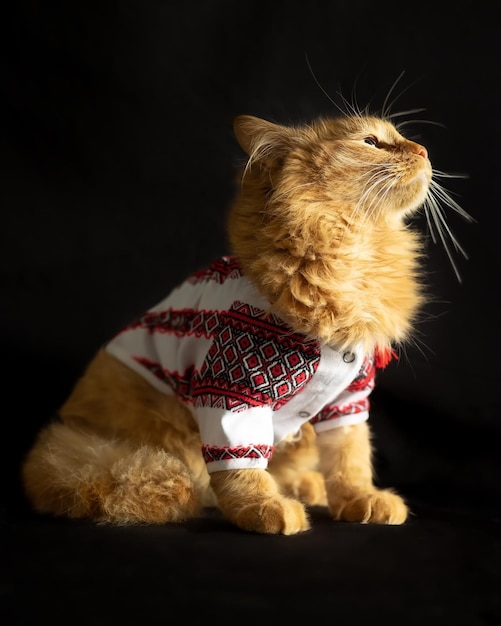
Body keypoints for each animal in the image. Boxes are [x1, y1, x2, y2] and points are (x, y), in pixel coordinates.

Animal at [20, 111, 464, 532]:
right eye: (371, 141)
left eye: (400, 137)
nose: (423, 150)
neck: (355, 259)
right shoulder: (234, 391)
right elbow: (241, 469)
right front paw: (263, 509)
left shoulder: (348, 400)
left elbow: (349, 460)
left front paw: (359, 499)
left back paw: (306, 486)